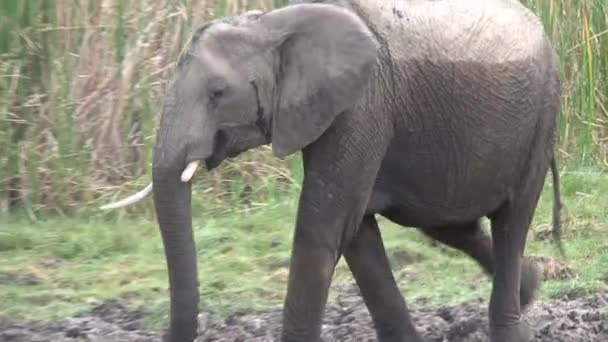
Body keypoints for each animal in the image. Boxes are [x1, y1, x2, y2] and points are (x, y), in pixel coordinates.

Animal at [102, 0, 564, 342]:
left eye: (217, 93)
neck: (271, 25)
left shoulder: (361, 104)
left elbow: (323, 225)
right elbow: (356, 231)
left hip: (542, 114)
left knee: (511, 222)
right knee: (448, 224)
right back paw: (532, 284)